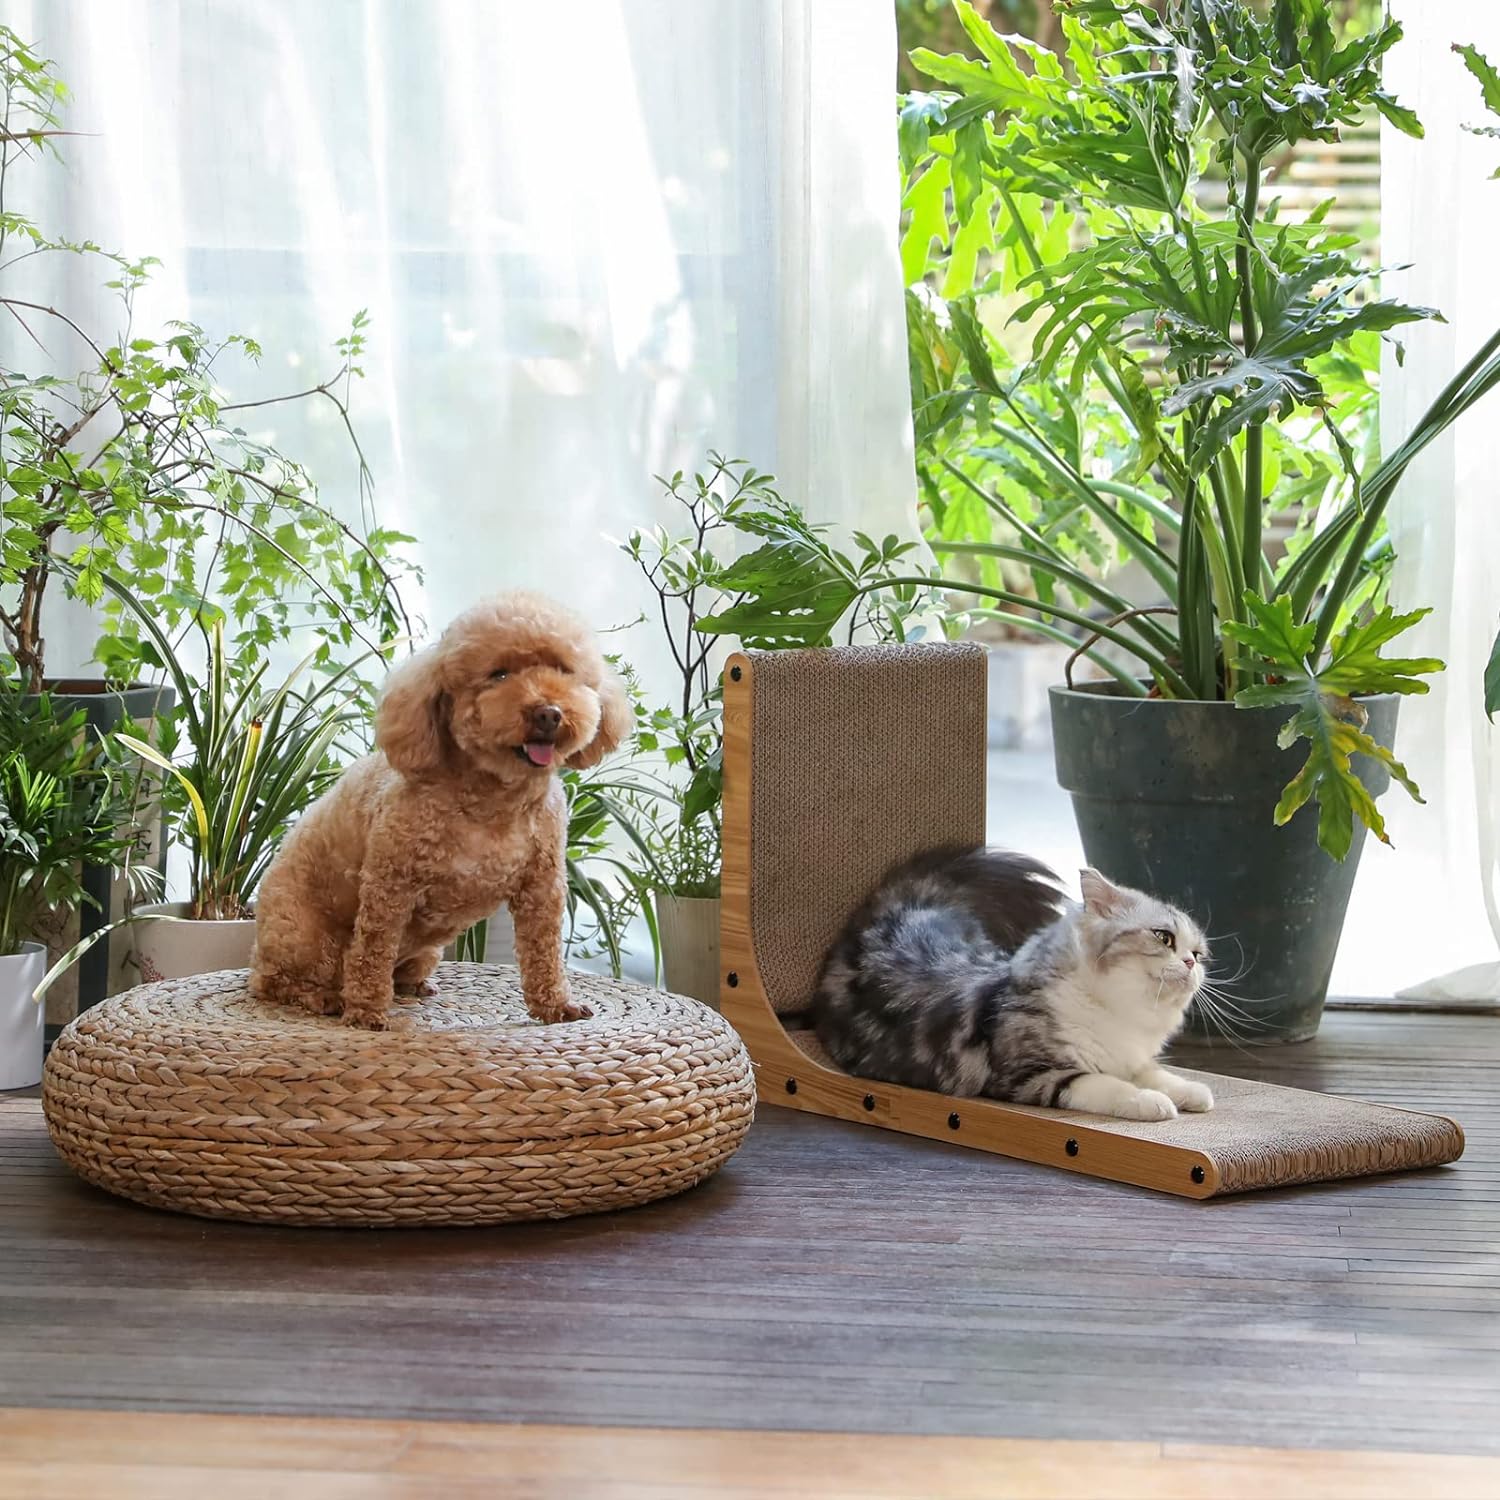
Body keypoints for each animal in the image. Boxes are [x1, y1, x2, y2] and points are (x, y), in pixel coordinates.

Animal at [244, 591, 627, 1026]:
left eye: (563, 669)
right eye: (498, 675)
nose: (548, 713)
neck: (493, 801)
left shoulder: (542, 887)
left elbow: (544, 954)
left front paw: (557, 1006)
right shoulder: (390, 884)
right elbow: (372, 953)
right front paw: (365, 1013)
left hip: (427, 951)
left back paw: (412, 985)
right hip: (304, 940)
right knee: (272, 981)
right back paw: (321, 997)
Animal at [816, 852, 1212, 1122]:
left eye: (1198, 953)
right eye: (1163, 937)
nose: (1191, 964)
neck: (1121, 1014)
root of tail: (908, 908)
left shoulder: (1130, 1057)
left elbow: (1155, 1073)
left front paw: (1193, 1092)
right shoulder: (1032, 1073)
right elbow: (1108, 1084)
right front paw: (1152, 1103)